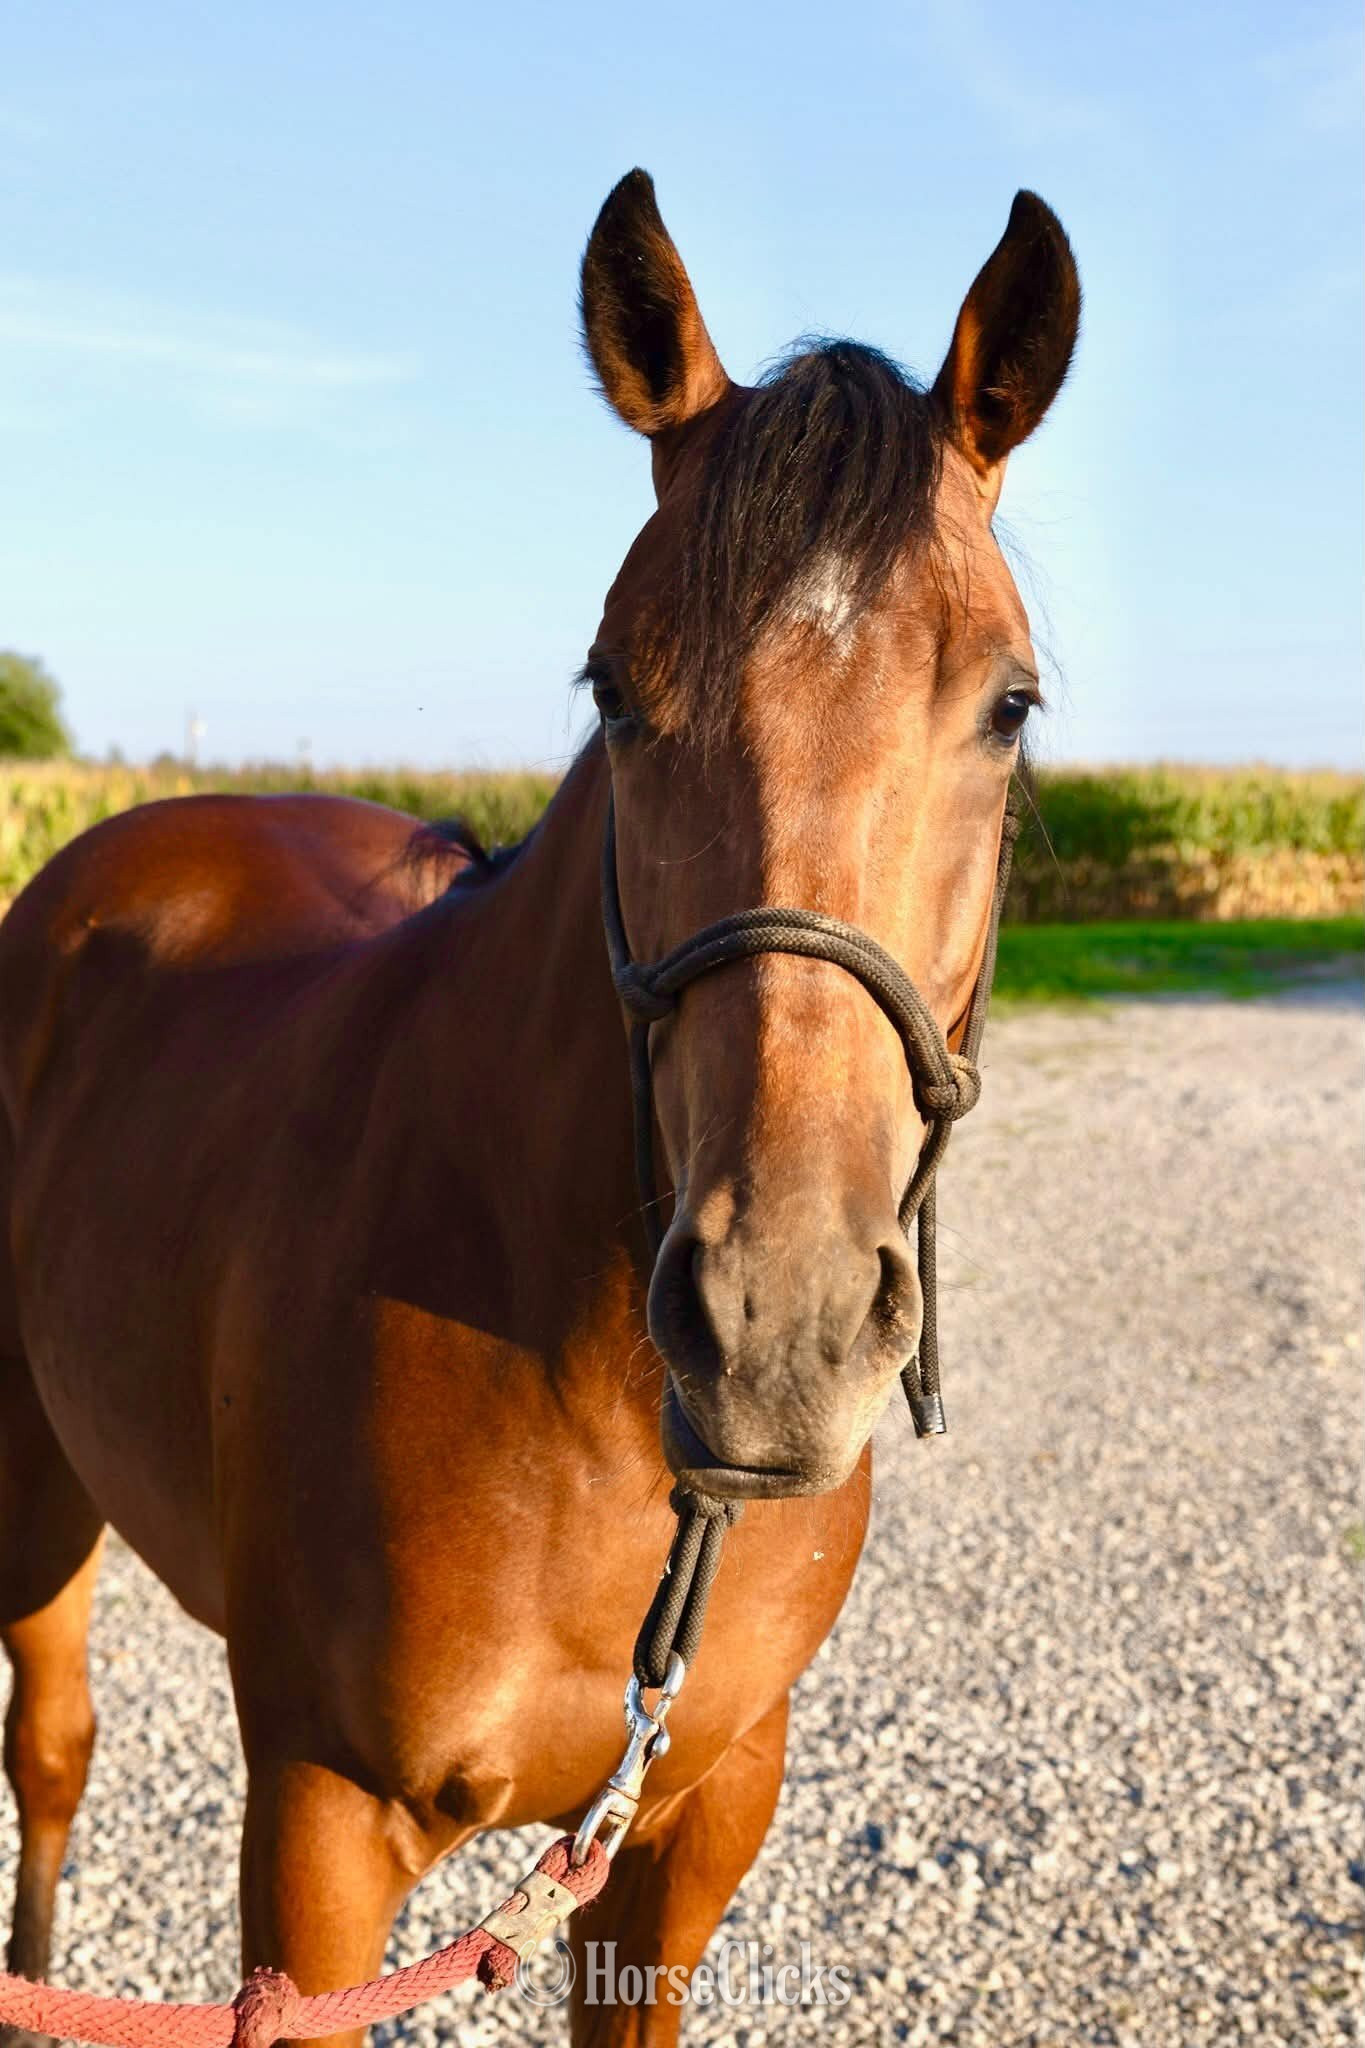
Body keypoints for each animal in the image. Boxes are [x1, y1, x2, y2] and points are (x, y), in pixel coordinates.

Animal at [0, 169, 1079, 2047]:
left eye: (1008, 705)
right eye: (616, 692)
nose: (776, 1327)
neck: (590, 1410)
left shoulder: (691, 1813)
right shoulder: (321, 1835)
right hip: (26, 1471)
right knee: (49, 1757)